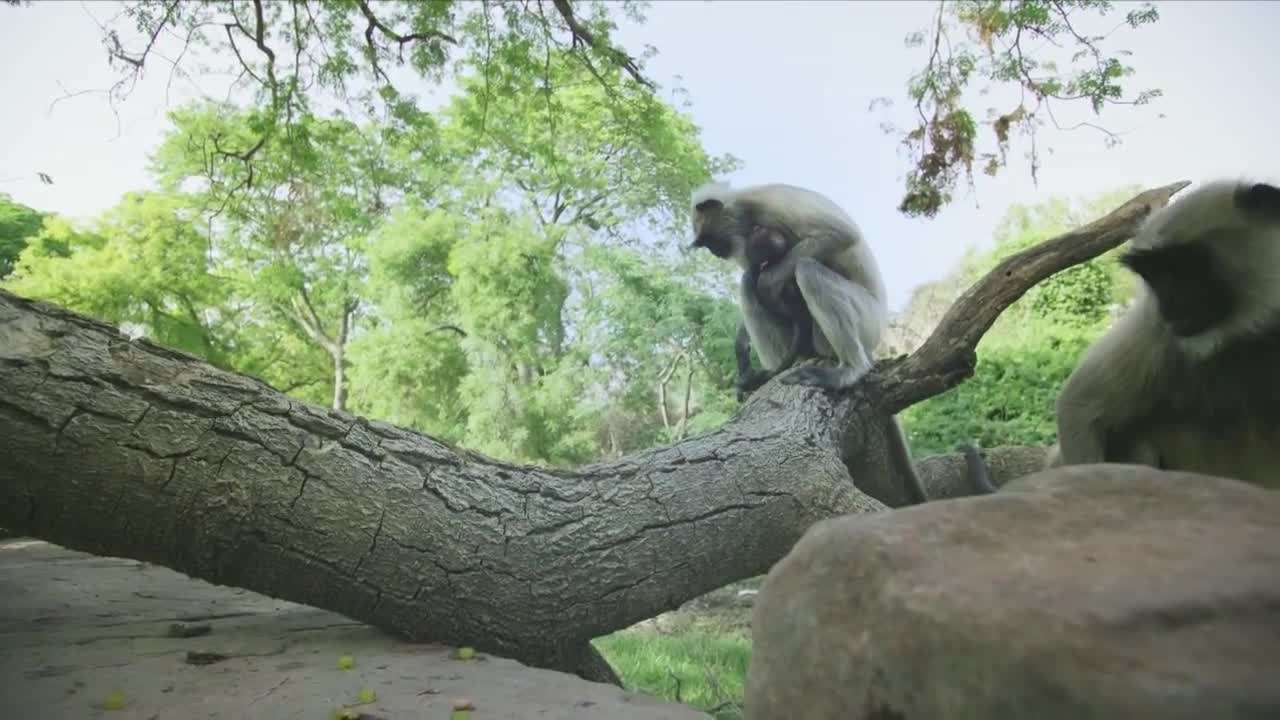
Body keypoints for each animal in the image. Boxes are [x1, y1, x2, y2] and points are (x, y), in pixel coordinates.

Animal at [1044, 178, 1280, 486]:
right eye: (1154, 276)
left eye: (1183, 267)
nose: (1168, 304)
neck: (1241, 338)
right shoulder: (1154, 326)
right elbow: (1078, 406)